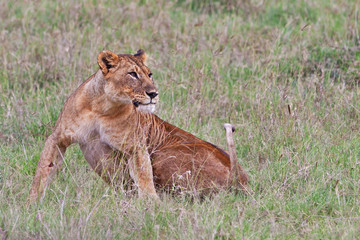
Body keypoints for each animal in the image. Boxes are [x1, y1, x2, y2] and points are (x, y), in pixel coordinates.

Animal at [28, 48, 250, 202]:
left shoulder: (136, 147)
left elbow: (144, 178)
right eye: (132, 74)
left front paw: (153, 207)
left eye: (149, 74)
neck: (102, 107)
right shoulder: (57, 138)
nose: (153, 93)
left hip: (162, 155)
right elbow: (42, 171)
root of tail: (240, 179)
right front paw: (32, 205)